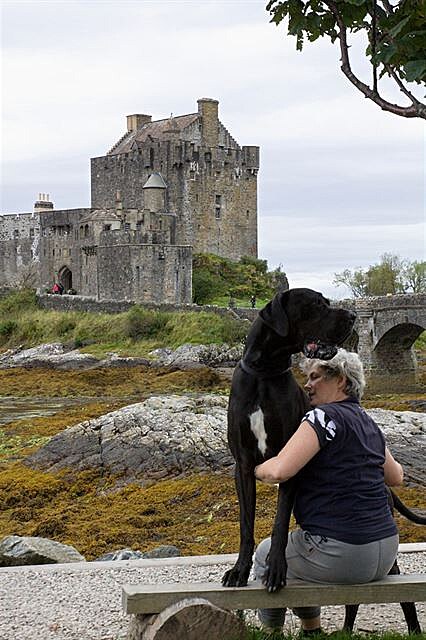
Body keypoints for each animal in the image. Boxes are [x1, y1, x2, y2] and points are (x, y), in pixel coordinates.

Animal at [220, 288, 356, 592]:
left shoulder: (290, 463)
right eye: (317, 304)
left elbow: (280, 522)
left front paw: (276, 570)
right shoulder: (243, 465)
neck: (264, 374)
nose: (354, 315)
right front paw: (239, 570)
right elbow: (246, 524)